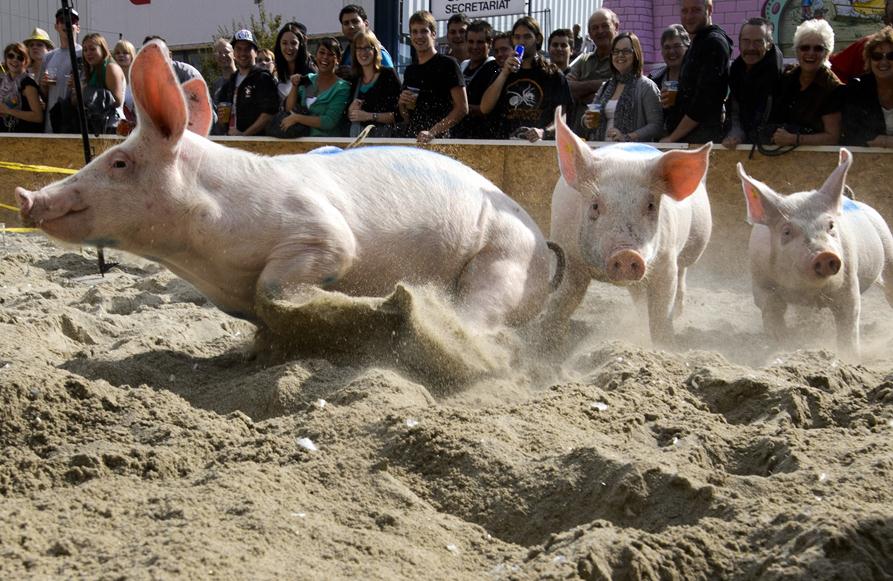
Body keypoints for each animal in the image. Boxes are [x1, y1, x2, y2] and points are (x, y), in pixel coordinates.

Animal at [13, 43, 556, 334]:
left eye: (119, 162)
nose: (25, 197)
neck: (201, 256)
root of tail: (545, 250)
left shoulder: (321, 232)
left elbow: (280, 283)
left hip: (502, 259)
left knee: (480, 314)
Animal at [544, 105, 712, 344]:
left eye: (650, 205)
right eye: (595, 205)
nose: (626, 253)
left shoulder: (666, 260)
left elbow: (661, 312)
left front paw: (666, 346)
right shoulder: (568, 254)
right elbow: (562, 302)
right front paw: (544, 341)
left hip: (697, 241)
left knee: (683, 271)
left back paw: (678, 312)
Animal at [740, 148, 892, 358]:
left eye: (831, 226)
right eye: (787, 232)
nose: (825, 254)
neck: (807, 289)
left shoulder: (849, 278)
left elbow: (849, 318)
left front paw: (850, 357)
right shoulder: (760, 280)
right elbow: (772, 309)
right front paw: (782, 346)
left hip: (888, 247)